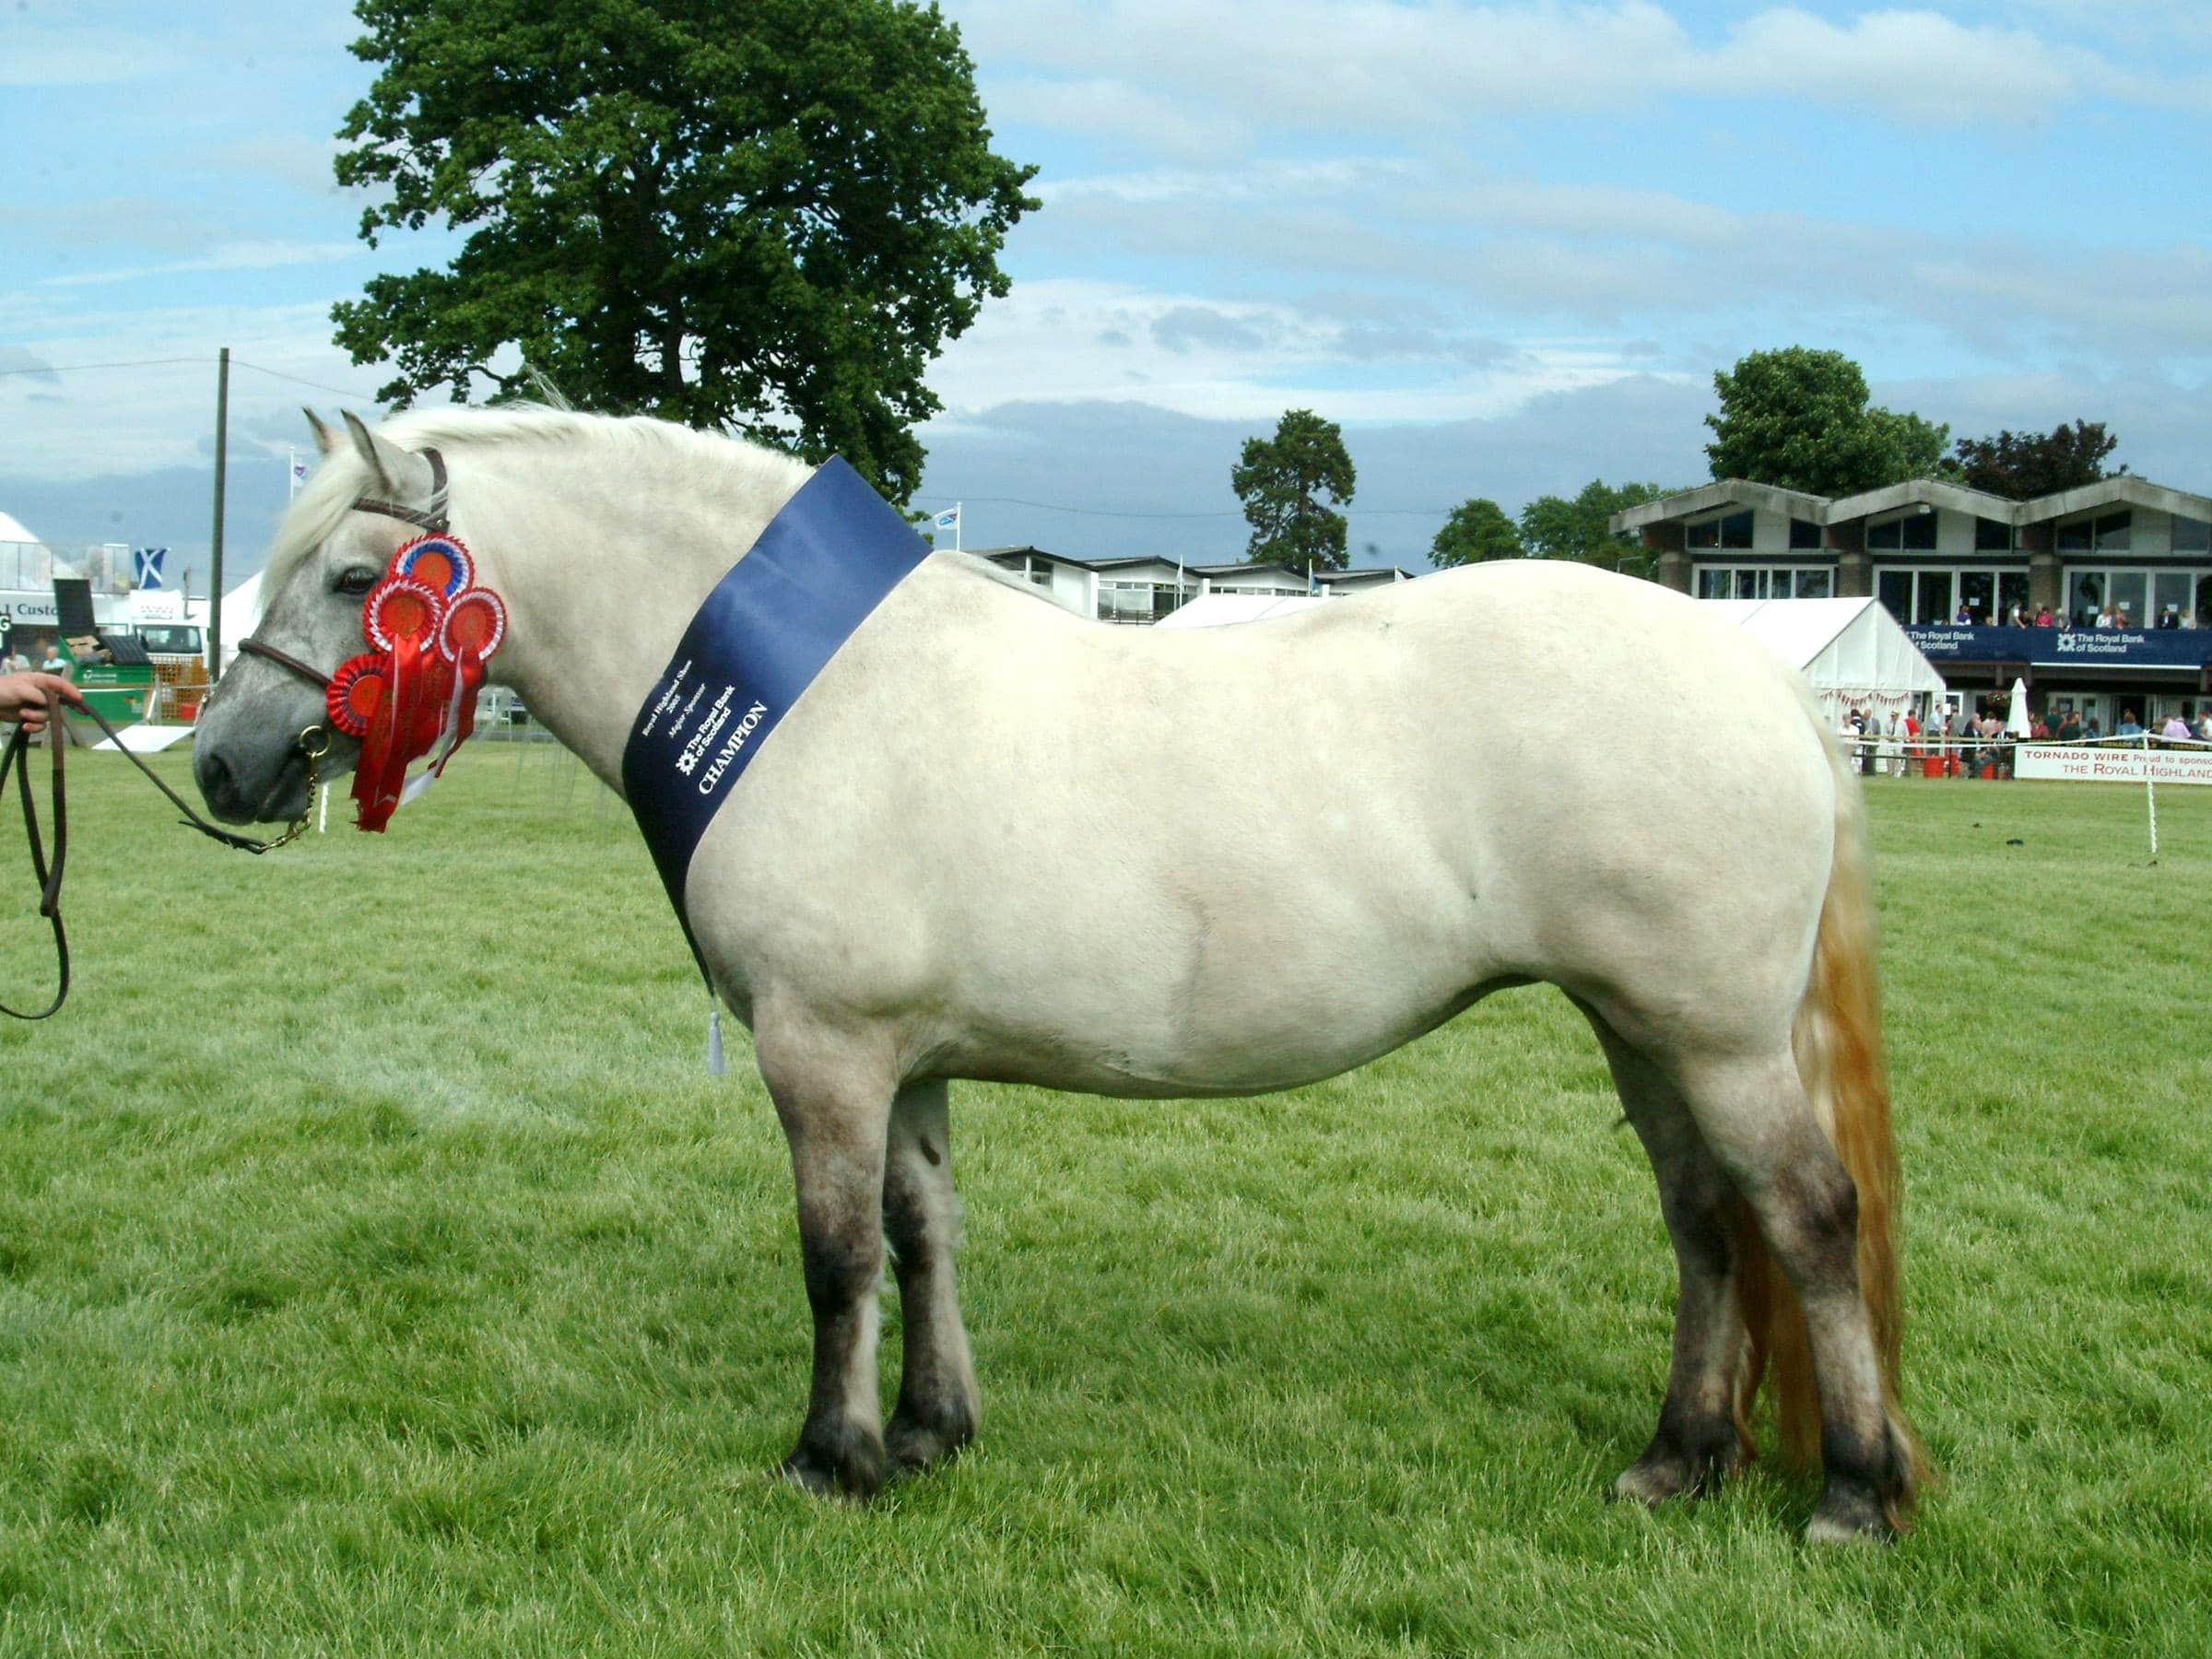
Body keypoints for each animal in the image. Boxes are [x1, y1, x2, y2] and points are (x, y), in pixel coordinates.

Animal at [195, 407, 1924, 1540]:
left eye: (355, 583)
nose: (221, 764)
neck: (805, 693)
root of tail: (1767, 686)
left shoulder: (823, 1051)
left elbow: (837, 1258)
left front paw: (829, 1461)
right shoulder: (905, 1061)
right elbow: (924, 1234)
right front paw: (929, 1434)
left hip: (1715, 1039)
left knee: (1805, 1218)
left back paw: (1851, 1490)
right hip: (1642, 1030)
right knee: (1706, 1225)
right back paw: (1678, 1460)